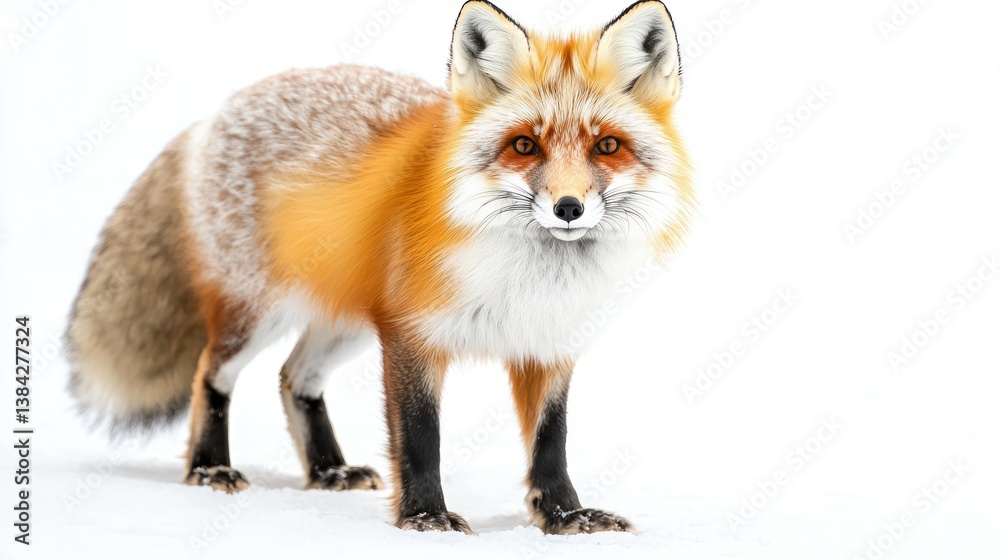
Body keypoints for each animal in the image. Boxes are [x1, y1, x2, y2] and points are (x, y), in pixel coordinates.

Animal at [66, 0, 693, 535]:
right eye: (524, 146)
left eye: (607, 146)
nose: (568, 207)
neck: (530, 280)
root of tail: (214, 116)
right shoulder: (410, 336)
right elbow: (419, 438)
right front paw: (425, 518)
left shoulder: (547, 346)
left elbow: (551, 444)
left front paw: (566, 517)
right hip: (259, 315)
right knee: (210, 375)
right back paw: (208, 468)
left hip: (344, 324)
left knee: (293, 378)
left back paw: (327, 471)